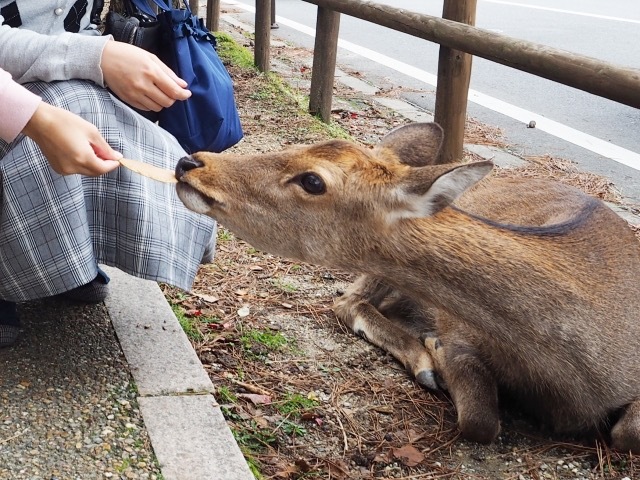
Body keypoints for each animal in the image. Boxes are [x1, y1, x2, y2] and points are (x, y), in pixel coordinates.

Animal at [172, 122, 640, 452]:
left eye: (313, 180)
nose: (191, 163)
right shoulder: (458, 329)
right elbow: (481, 420)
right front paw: (434, 353)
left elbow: (626, 435)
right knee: (348, 300)